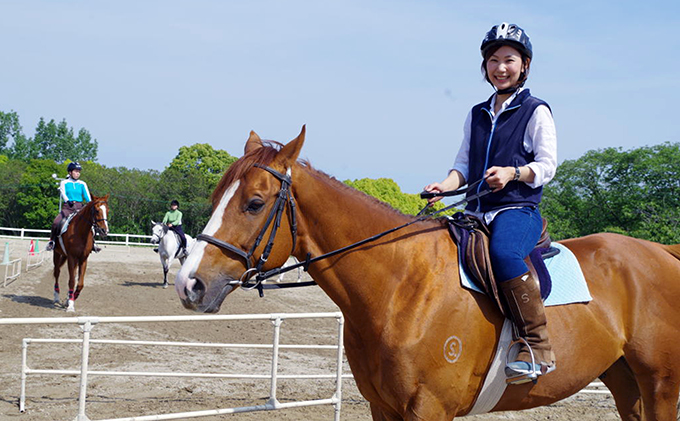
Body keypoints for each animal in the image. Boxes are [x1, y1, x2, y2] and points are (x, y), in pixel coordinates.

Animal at [174, 128, 680, 420]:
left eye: (255, 203)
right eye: (217, 194)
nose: (189, 283)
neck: (401, 288)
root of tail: (661, 252)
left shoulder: (429, 410)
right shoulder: (384, 409)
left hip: (660, 385)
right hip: (624, 380)